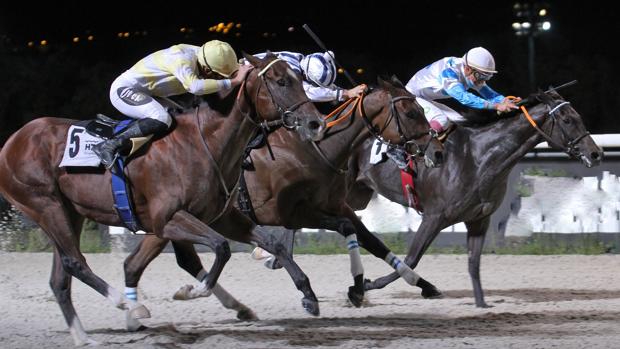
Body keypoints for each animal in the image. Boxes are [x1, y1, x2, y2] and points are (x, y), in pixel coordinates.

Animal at [0, 53, 326, 344]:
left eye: (299, 79)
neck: (204, 142)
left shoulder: (222, 216)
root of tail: (12, 142)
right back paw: (129, 306)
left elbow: (271, 244)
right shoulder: (167, 219)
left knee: (61, 277)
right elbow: (220, 249)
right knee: (75, 262)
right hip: (45, 205)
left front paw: (309, 296)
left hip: (70, 212)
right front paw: (192, 291)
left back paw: (83, 337)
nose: (315, 123)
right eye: (281, 81)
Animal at [118, 75, 444, 324]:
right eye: (412, 113)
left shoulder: (337, 205)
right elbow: (344, 230)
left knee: (166, 260)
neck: (317, 150)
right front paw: (351, 288)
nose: (437, 152)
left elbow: (372, 241)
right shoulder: (290, 213)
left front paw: (420, 283)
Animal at [346, 88, 604, 306]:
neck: (478, 158)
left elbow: (474, 264)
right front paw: (370, 284)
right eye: (568, 120)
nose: (596, 153)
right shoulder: (434, 217)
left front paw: (481, 304)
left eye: (578, 117)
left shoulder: (479, 220)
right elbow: (411, 258)